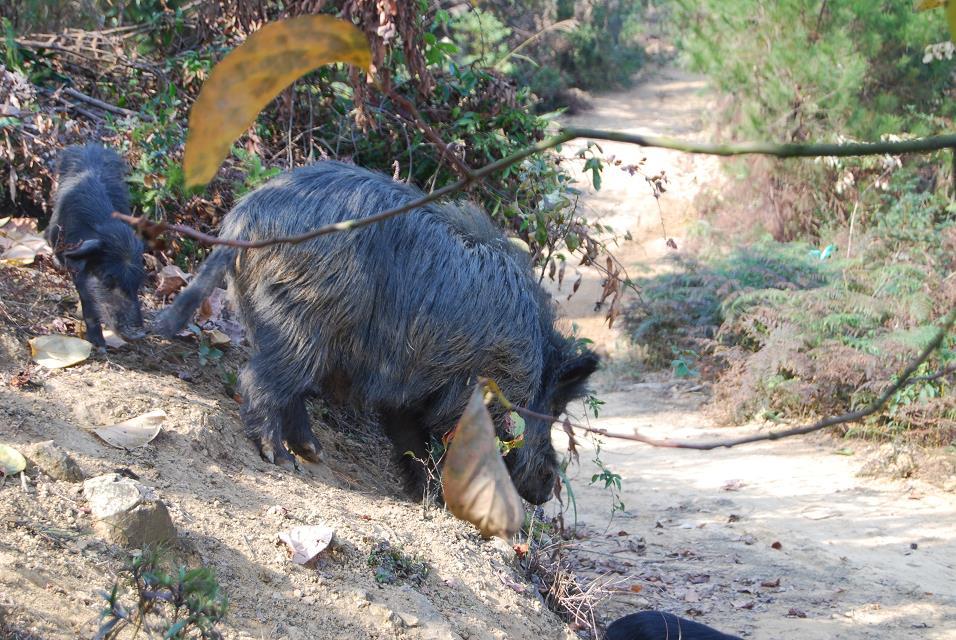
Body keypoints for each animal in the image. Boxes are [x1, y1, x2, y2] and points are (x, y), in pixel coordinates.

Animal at [47, 144, 146, 348]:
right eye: (108, 279)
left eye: (138, 281)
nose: (139, 334)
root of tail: (89, 147)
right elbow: (89, 303)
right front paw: (99, 345)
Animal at [156, 161, 596, 504]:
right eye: (553, 411)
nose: (547, 488)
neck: (530, 359)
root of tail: (242, 219)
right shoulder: (472, 389)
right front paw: (443, 500)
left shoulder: (410, 390)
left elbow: (408, 438)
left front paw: (426, 496)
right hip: (301, 319)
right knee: (258, 379)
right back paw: (281, 458)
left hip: (270, 316)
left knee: (286, 386)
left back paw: (313, 453)